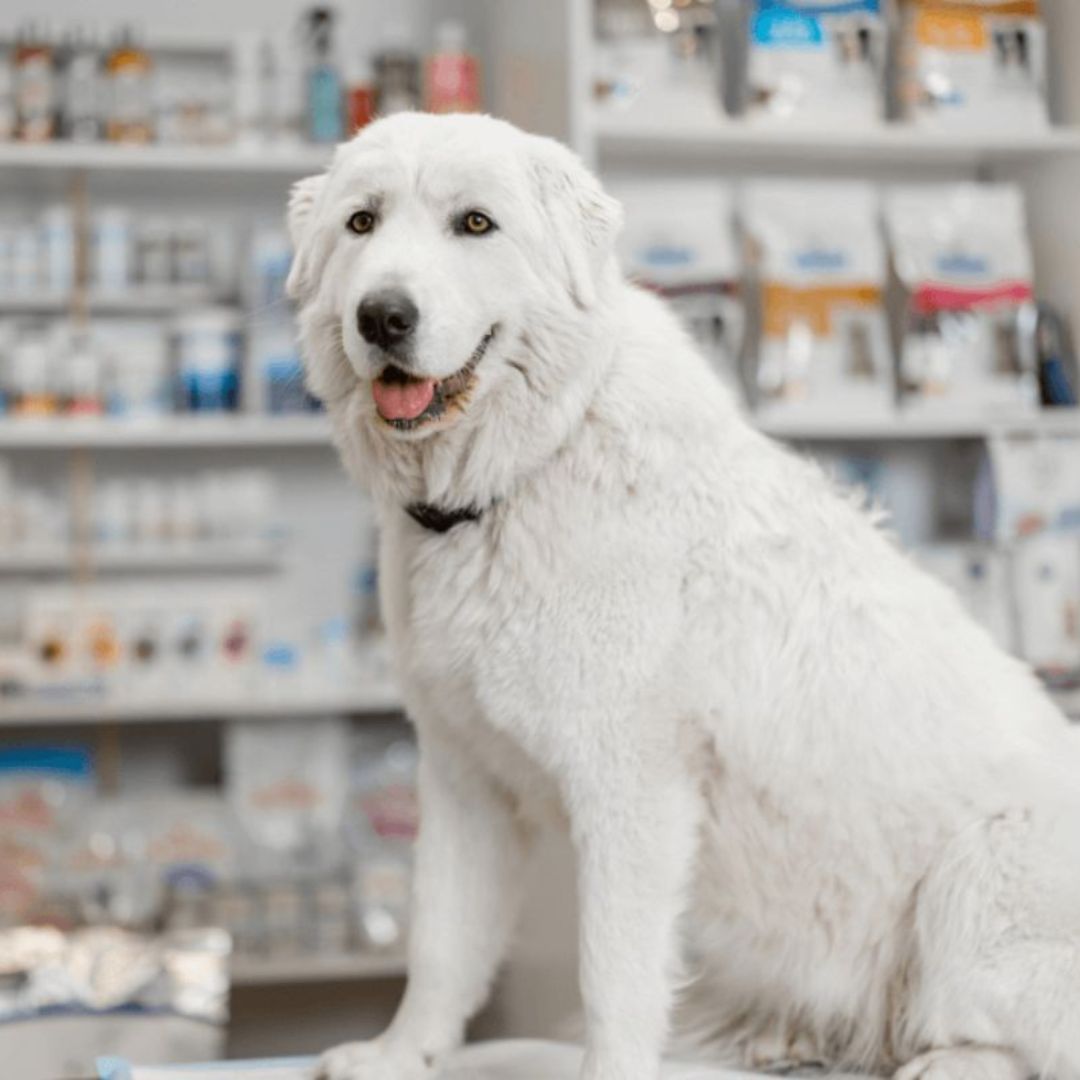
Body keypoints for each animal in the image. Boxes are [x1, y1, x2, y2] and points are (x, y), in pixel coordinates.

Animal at [289, 111, 1080, 1080]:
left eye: (475, 224)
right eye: (361, 223)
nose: (383, 315)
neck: (528, 469)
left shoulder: (629, 790)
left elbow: (611, 973)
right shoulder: (464, 779)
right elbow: (441, 940)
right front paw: (403, 1053)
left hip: (978, 878)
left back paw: (944, 1063)